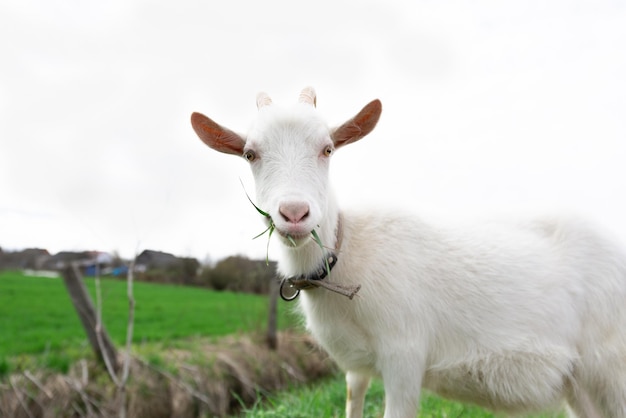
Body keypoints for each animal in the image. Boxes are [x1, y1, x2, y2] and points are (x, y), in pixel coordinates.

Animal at [190, 86, 624, 416]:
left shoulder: (404, 355)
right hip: (581, 383)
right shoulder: (357, 368)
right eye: (250, 154)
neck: (347, 251)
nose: (294, 213)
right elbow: (352, 402)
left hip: (611, 365)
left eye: (328, 149)